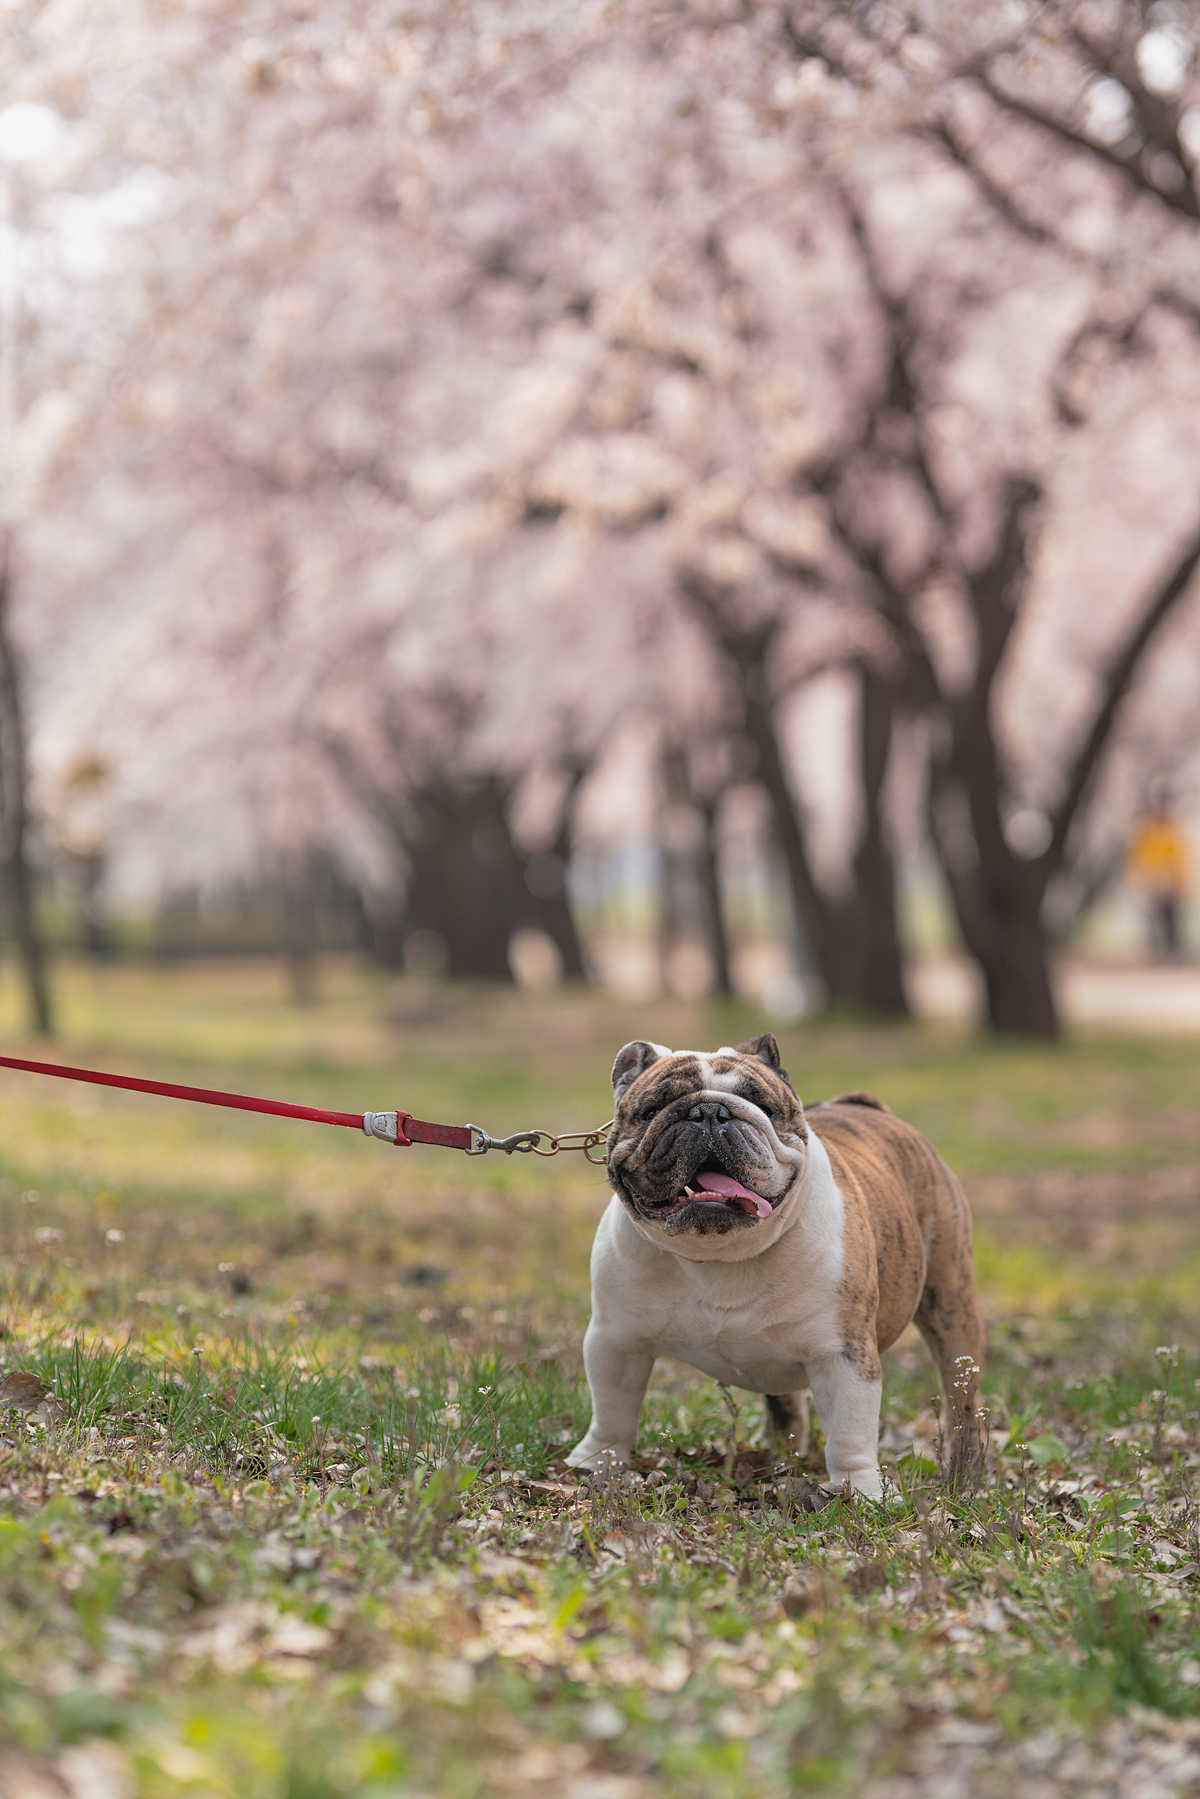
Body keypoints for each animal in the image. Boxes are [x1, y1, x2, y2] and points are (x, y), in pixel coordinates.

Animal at [568, 1036, 993, 1496]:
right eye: (651, 1111)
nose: (709, 1113)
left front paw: (859, 1490)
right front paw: (596, 1464)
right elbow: (612, 1410)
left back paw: (966, 1479)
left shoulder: (843, 1354)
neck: (720, 1254)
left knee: (962, 1403)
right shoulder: (617, 1340)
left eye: (765, 1107)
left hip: (952, 1308)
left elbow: (850, 1430)